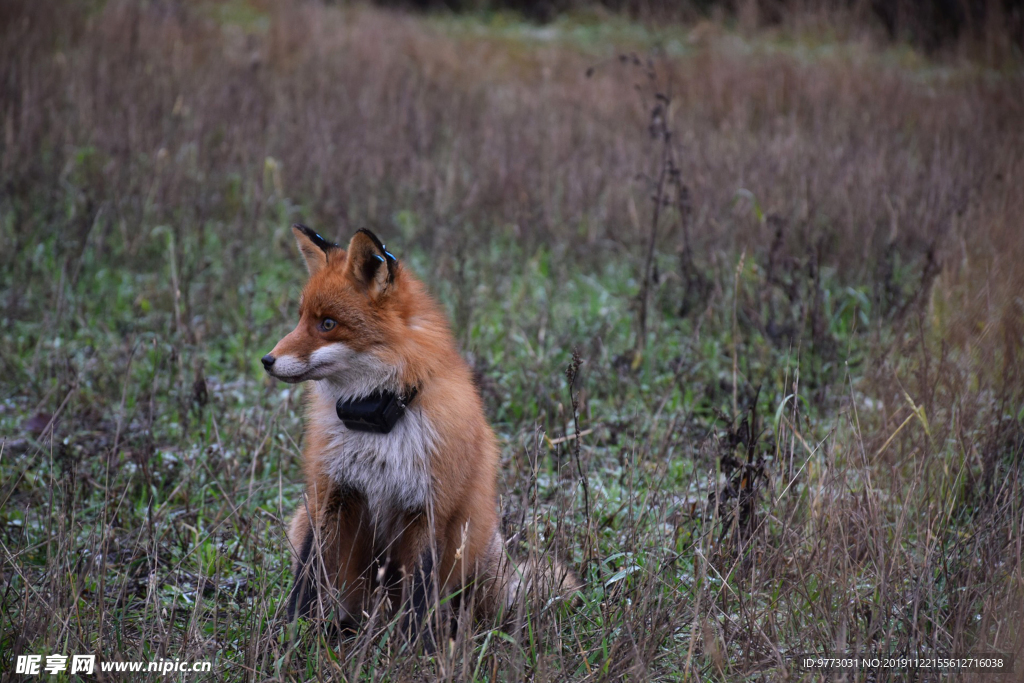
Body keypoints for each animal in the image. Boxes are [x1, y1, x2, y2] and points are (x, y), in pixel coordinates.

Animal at [260, 227, 581, 643]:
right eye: (300, 319)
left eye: (327, 323)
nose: (266, 360)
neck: (376, 424)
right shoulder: (330, 496)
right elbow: (306, 578)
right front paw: (289, 637)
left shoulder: (428, 507)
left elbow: (419, 595)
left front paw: (415, 649)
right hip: (303, 521)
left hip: (475, 549)